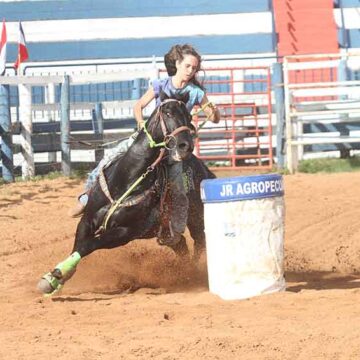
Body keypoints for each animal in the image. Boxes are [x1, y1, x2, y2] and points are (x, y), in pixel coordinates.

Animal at [38, 96, 215, 296]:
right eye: (168, 112)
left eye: (189, 116)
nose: (186, 145)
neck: (125, 180)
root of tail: (206, 170)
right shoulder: (86, 220)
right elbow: (78, 246)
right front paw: (55, 279)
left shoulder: (124, 233)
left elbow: (87, 246)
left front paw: (56, 276)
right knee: (182, 245)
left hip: (196, 220)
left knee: (199, 242)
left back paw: (192, 273)